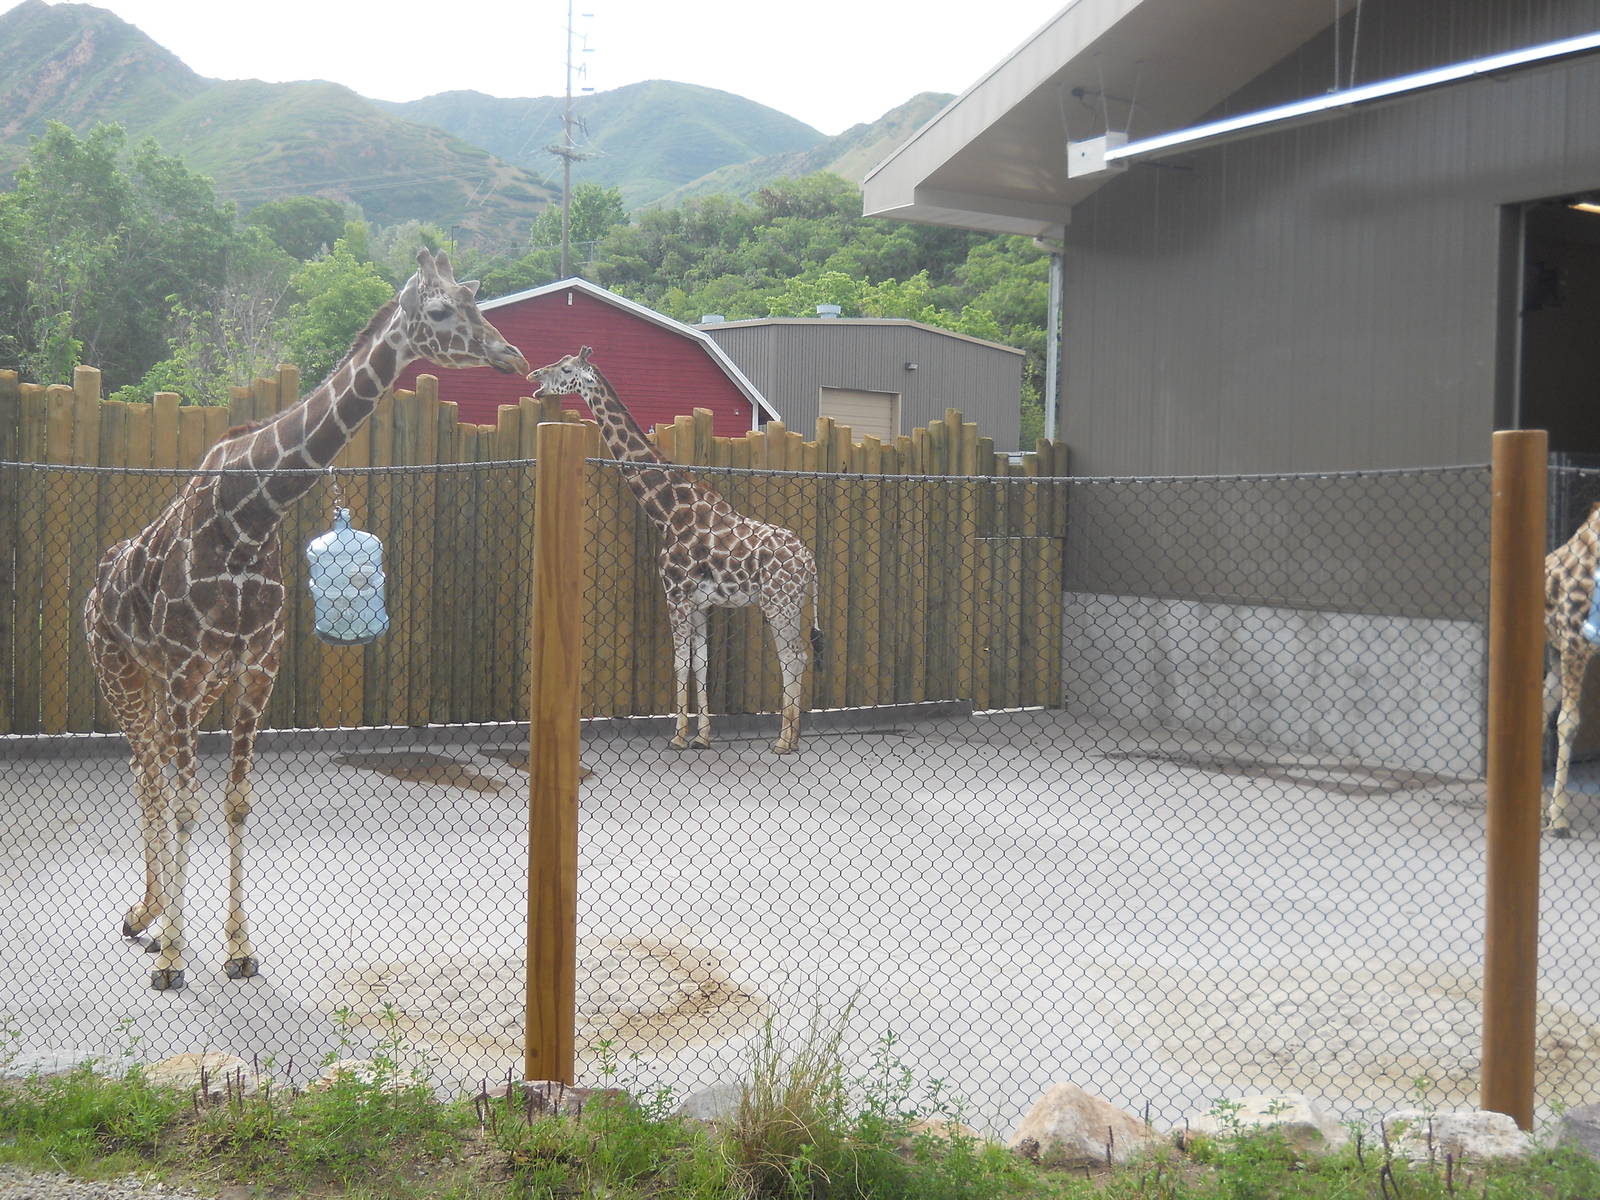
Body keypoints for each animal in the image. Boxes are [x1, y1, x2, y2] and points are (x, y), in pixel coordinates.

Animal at [83, 249, 529, 990]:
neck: (249, 518)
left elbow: (234, 802)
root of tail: (99, 581)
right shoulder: (182, 672)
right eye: (440, 310)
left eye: (476, 299)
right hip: (124, 676)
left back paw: (149, 915)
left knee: (156, 774)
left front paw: (238, 948)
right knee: (148, 777)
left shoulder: (253, 669)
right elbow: (186, 804)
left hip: (182, 690)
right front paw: (174, 957)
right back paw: (149, 922)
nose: (511, 355)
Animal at [527, 346, 822, 753]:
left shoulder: (676, 594)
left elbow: (681, 660)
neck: (668, 511)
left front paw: (679, 736)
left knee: (792, 657)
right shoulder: (699, 602)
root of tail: (809, 562)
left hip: (779, 602)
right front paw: (702, 736)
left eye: (567, 369)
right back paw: (792, 737)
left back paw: (783, 741)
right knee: (801, 655)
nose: (534, 377)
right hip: (792, 603)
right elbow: (700, 663)